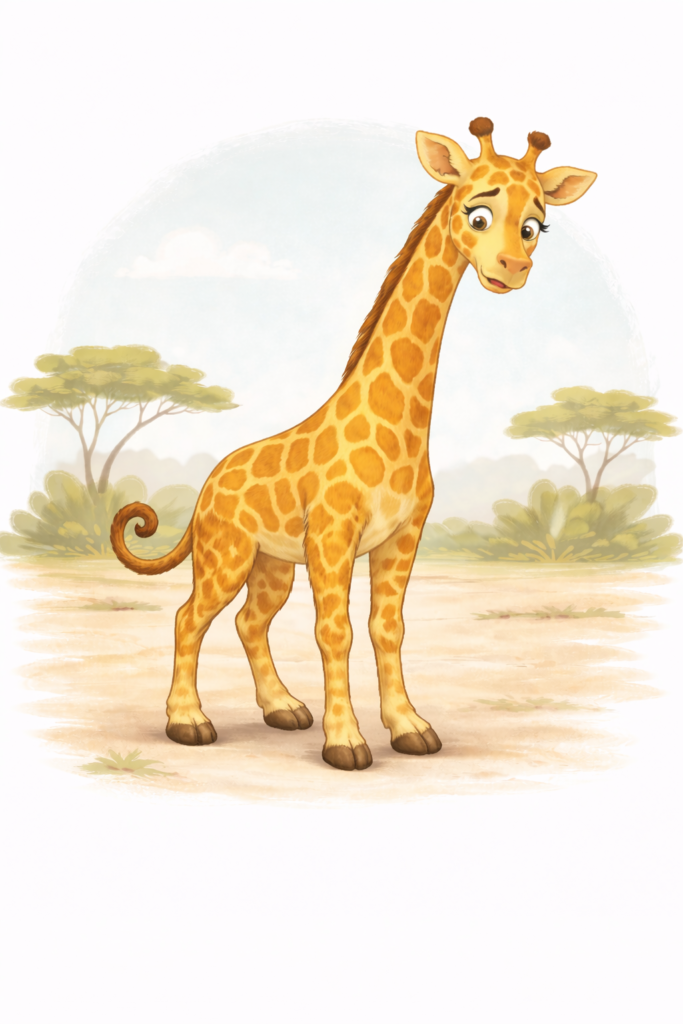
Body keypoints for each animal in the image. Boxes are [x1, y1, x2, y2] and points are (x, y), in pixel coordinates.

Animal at [111, 117, 596, 771]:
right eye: (477, 213)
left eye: (534, 226)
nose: (512, 268)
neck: (399, 425)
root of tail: (208, 486)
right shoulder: (333, 536)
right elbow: (333, 630)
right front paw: (345, 741)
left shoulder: (402, 535)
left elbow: (387, 627)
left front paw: (409, 727)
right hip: (227, 552)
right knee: (191, 616)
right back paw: (189, 722)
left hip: (271, 563)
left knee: (249, 621)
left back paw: (284, 709)